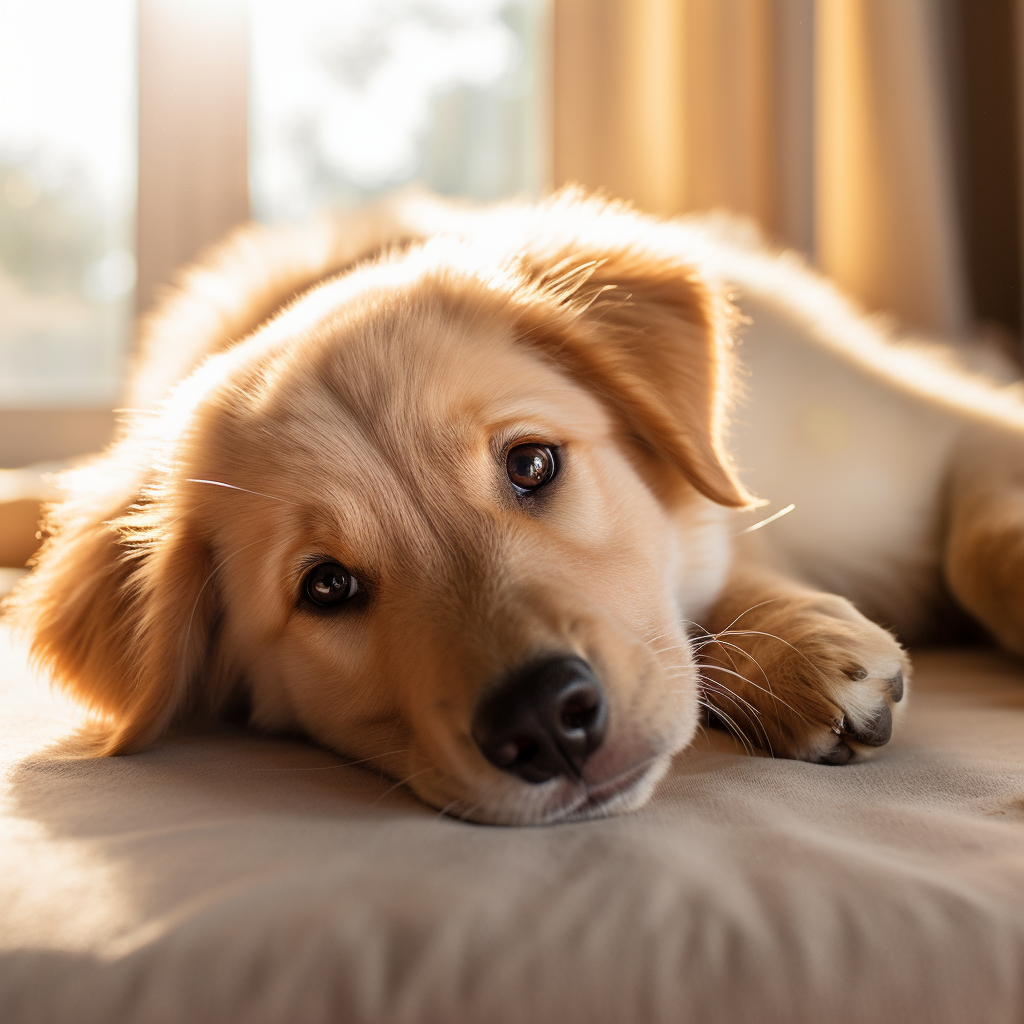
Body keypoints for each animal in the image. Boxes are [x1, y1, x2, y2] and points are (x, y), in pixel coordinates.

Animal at [8, 188, 1024, 827]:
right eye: (326, 587)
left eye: (532, 463)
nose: (542, 721)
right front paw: (789, 649)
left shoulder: (933, 433)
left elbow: (974, 537)